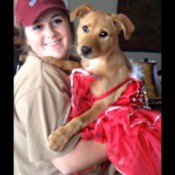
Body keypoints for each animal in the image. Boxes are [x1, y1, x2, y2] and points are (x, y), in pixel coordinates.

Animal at [46, 3, 134, 153]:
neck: (100, 62)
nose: (85, 50)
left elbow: (81, 119)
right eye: (85, 28)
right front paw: (51, 59)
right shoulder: (83, 67)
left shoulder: (102, 102)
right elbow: (71, 63)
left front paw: (60, 137)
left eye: (103, 34)